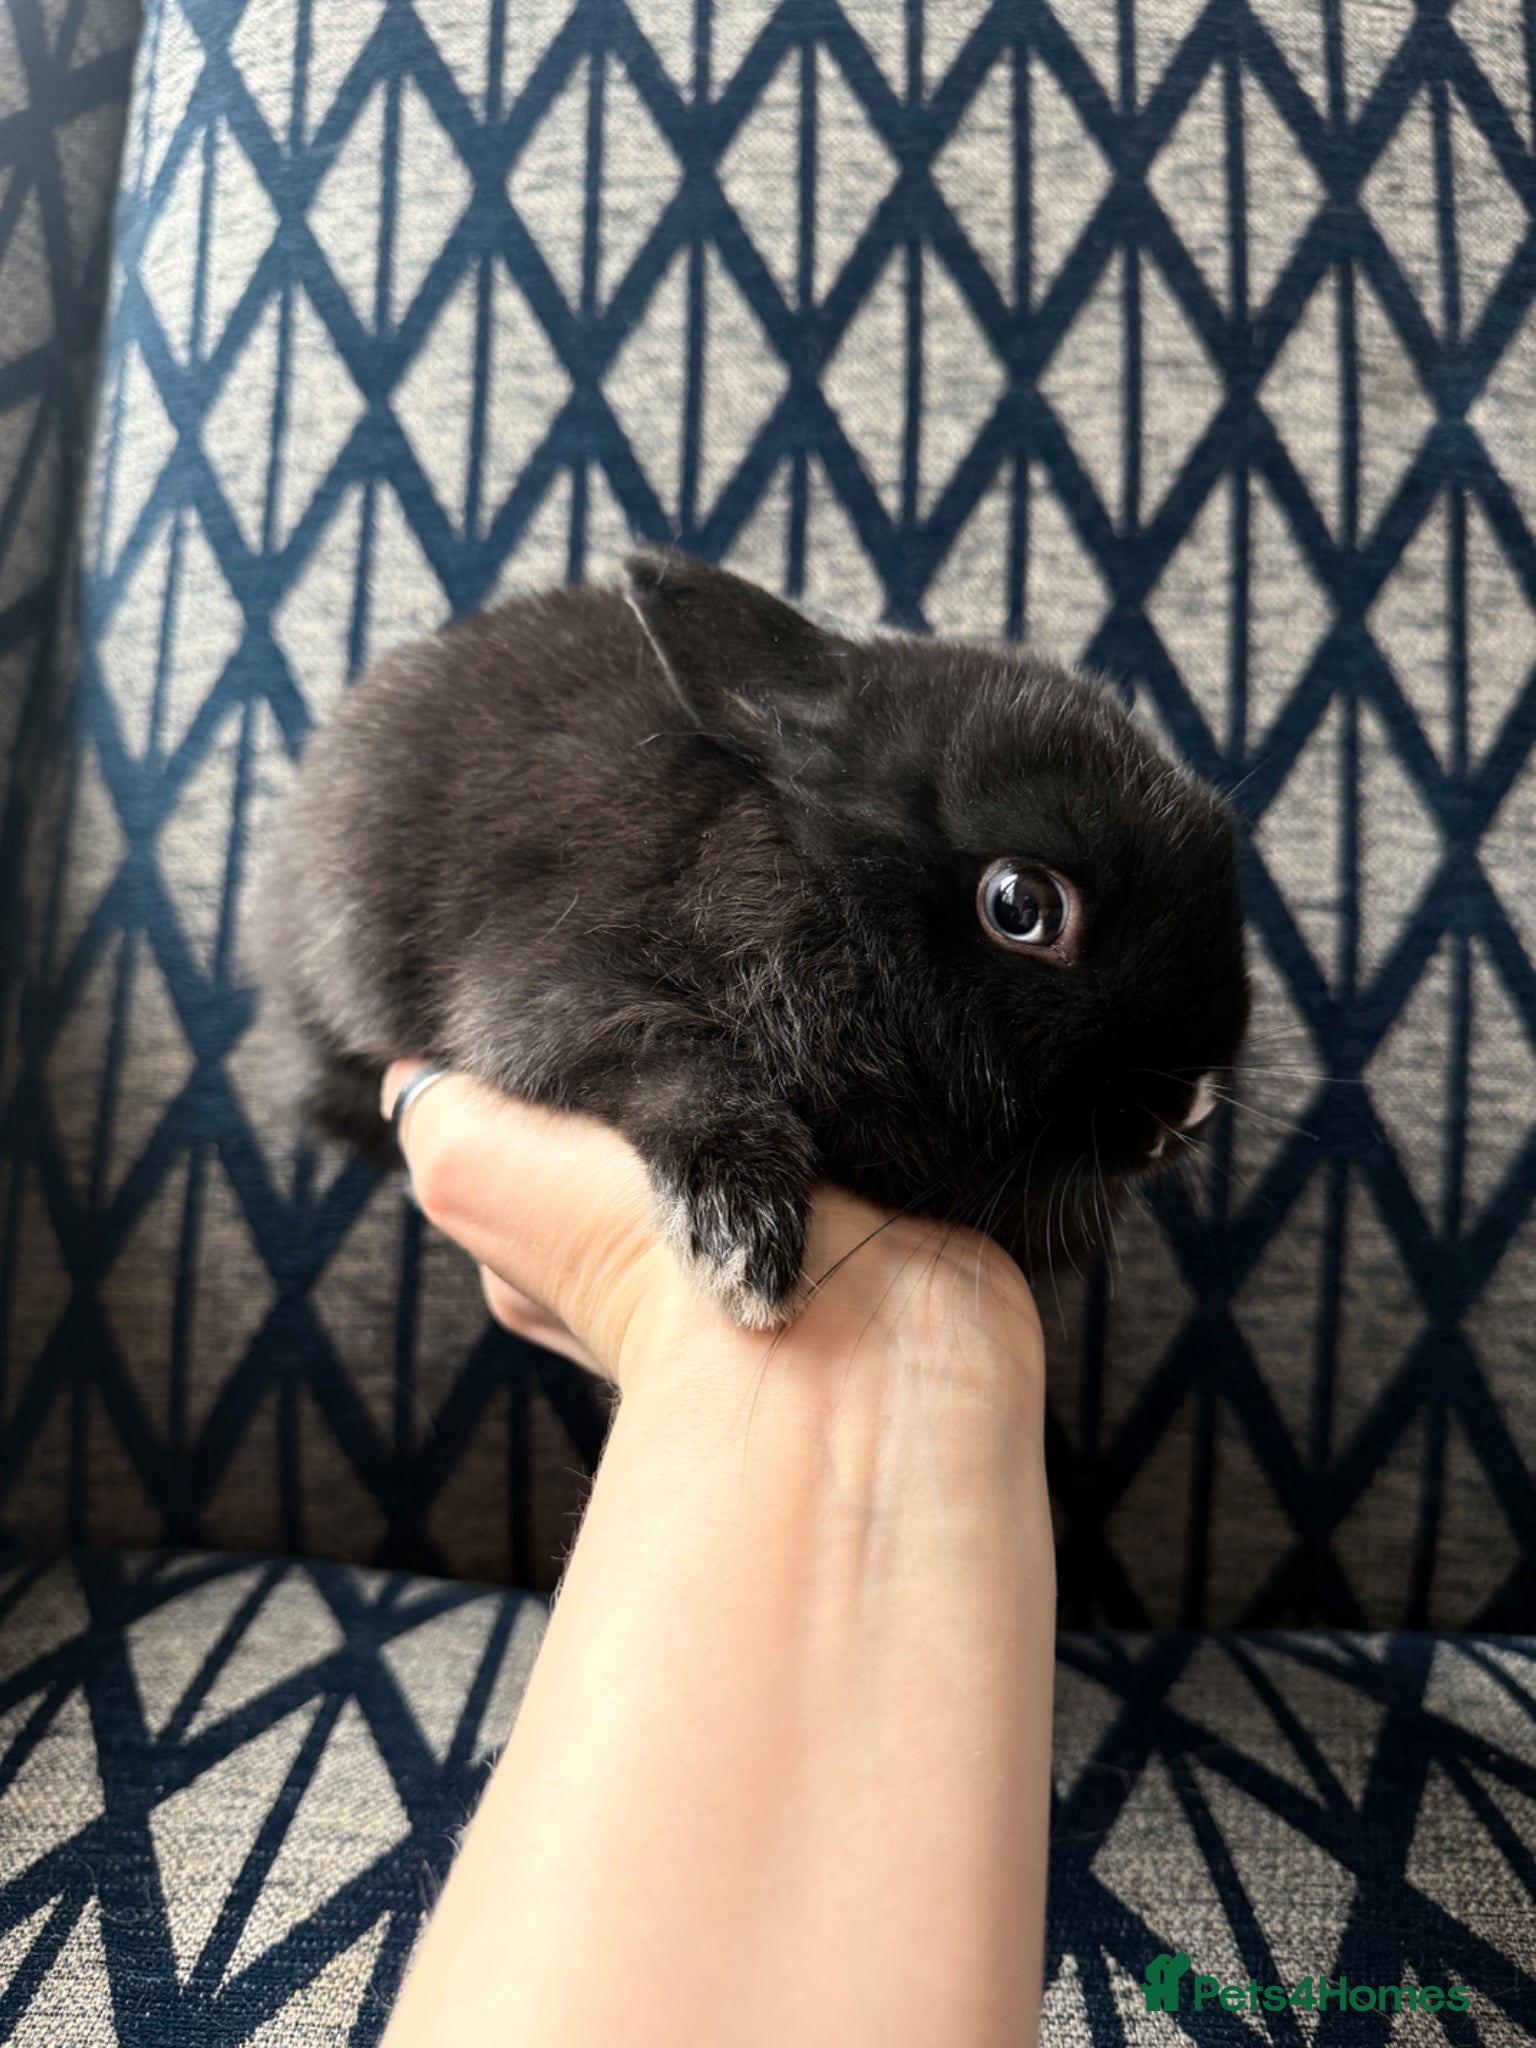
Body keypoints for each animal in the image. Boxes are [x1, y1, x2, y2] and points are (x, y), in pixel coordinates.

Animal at [249, 549, 1250, 1330]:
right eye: (1021, 906)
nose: (1183, 1111)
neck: (823, 889)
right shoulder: (555, 993)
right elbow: (677, 1068)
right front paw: (743, 1246)